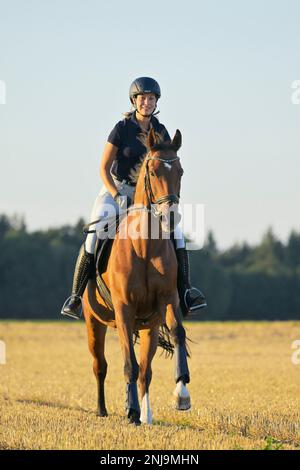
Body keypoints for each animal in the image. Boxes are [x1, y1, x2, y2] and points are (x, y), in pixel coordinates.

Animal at [82, 129, 190, 426]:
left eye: (180, 171)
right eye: (152, 172)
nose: (170, 218)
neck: (144, 246)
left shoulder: (168, 300)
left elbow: (177, 333)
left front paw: (182, 393)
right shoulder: (123, 309)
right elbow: (127, 364)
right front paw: (129, 411)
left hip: (147, 326)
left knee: (145, 371)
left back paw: (146, 414)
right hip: (94, 322)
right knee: (100, 366)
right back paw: (103, 409)